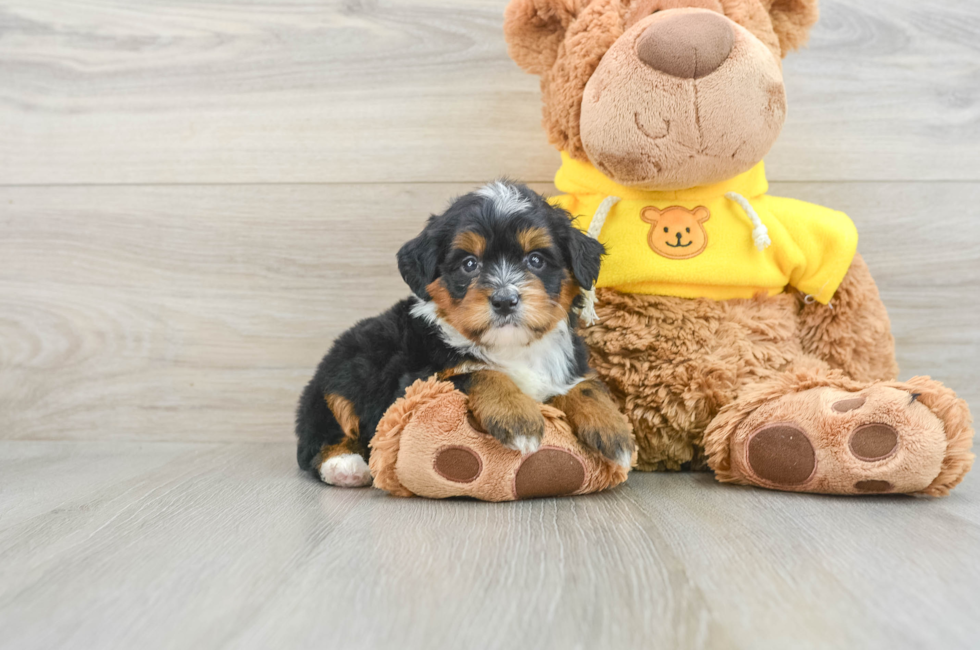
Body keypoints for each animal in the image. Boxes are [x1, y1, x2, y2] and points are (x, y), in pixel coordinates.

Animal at [296, 180, 636, 484]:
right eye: (469, 264)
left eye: (536, 260)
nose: (504, 300)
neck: (511, 347)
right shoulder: (416, 381)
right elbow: (481, 372)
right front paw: (517, 417)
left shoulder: (567, 367)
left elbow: (587, 386)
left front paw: (615, 431)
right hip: (342, 380)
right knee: (319, 437)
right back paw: (345, 466)